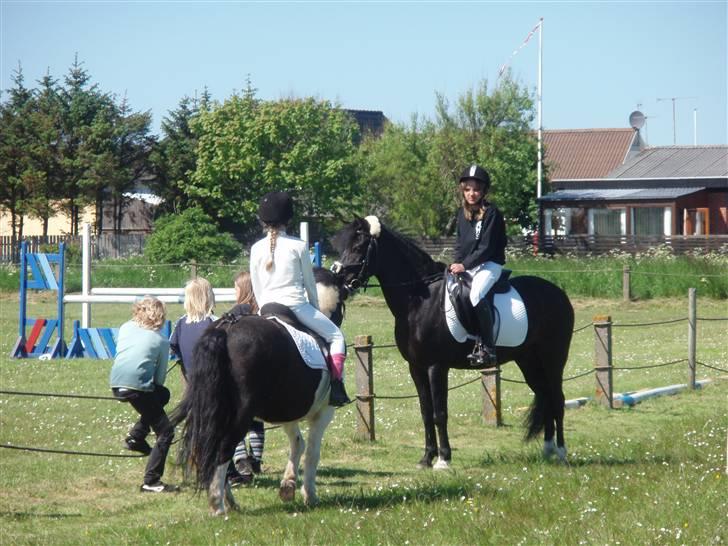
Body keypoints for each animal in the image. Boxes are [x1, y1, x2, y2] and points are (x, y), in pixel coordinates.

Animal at [176, 266, 346, 512]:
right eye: (342, 299)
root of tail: (226, 328)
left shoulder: (287, 412)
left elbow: (298, 443)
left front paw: (288, 486)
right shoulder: (323, 413)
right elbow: (312, 452)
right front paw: (309, 495)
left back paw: (230, 502)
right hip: (240, 415)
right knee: (222, 449)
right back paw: (218, 505)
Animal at [332, 217, 576, 468]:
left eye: (359, 246)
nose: (338, 280)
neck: (419, 301)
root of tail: (558, 293)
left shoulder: (436, 367)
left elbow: (439, 413)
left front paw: (443, 459)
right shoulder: (416, 368)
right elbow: (426, 412)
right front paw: (426, 458)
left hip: (553, 359)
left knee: (557, 399)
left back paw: (561, 452)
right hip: (529, 361)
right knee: (545, 396)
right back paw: (548, 451)